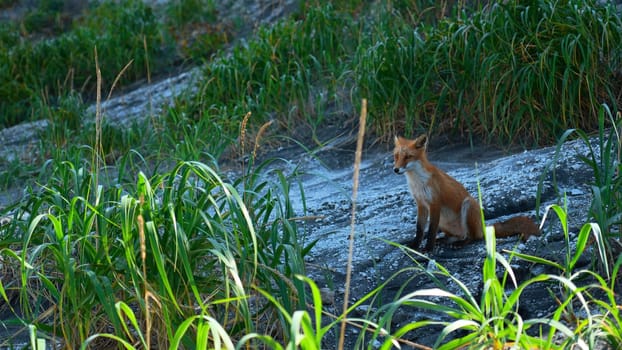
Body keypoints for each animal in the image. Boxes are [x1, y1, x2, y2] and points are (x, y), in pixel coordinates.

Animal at [394, 134, 540, 252]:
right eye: (396, 156)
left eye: (408, 157)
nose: (396, 169)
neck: (417, 182)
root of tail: (482, 226)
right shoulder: (421, 204)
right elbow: (419, 229)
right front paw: (414, 246)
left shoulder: (435, 203)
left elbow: (431, 230)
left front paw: (428, 248)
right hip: (445, 222)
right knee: (454, 236)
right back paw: (444, 240)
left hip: (468, 204)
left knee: (473, 237)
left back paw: (461, 243)